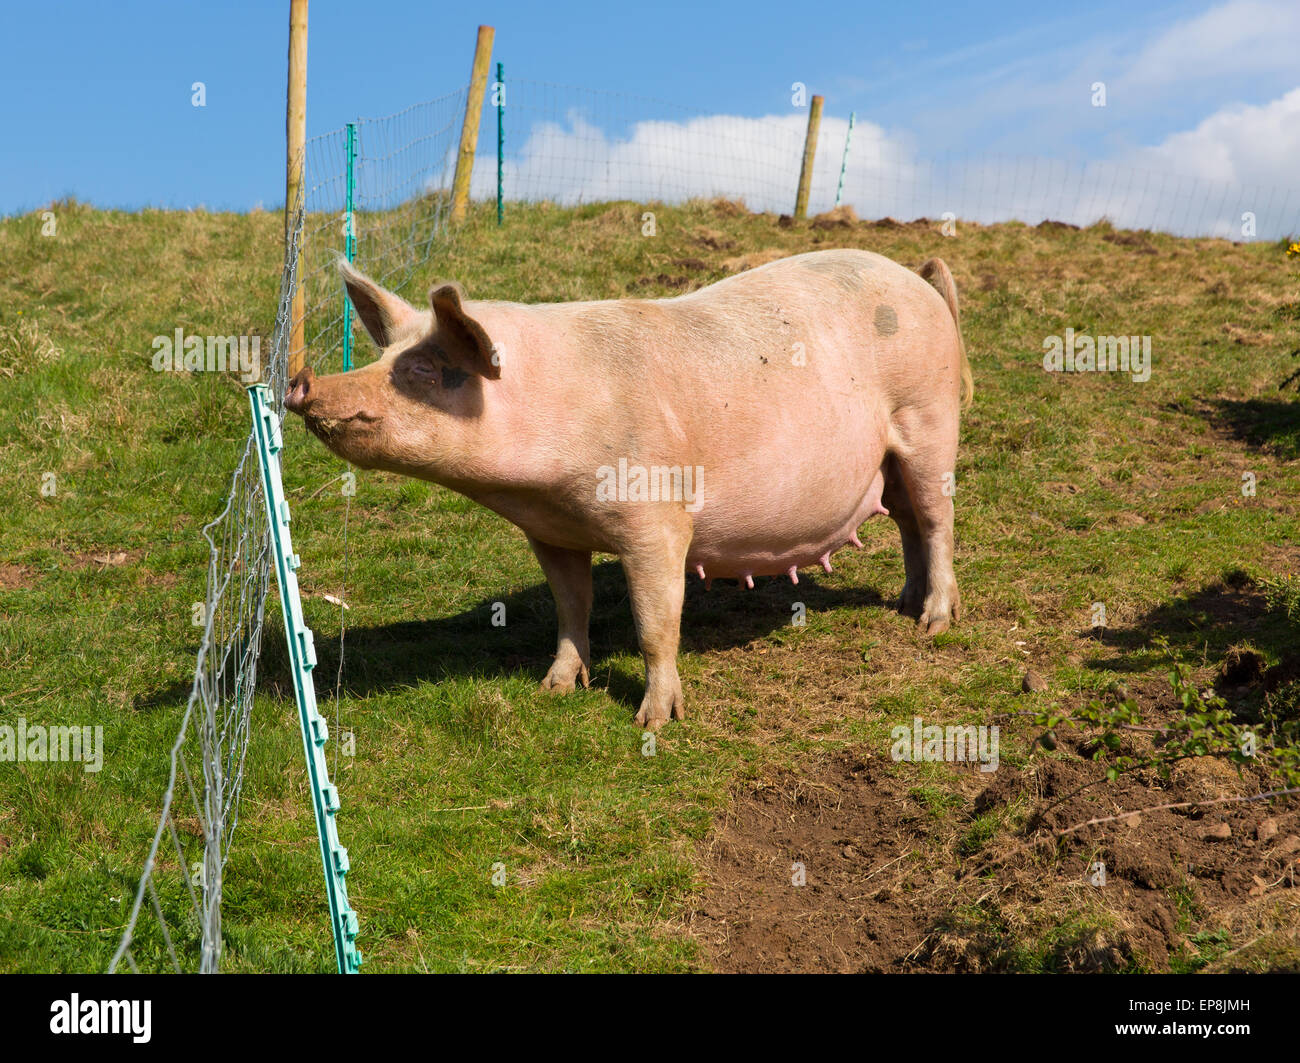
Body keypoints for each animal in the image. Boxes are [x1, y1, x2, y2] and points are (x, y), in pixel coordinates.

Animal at [287, 249, 977, 727]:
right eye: (381, 359)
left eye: (426, 369)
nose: (301, 382)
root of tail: (923, 284)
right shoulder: (551, 531)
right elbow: (572, 606)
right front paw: (554, 689)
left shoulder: (658, 520)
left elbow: (655, 620)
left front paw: (656, 722)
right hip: (889, 462)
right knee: (909, 522)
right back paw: (905, 605)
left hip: (930, 420)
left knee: (938, 520)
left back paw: (935, 624)